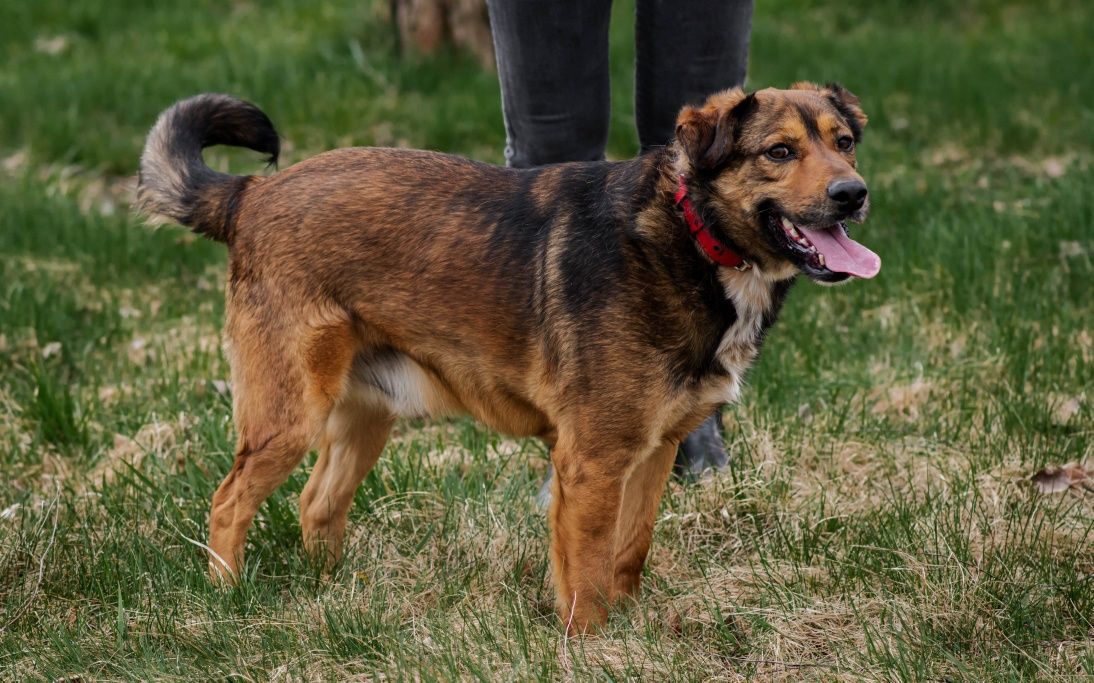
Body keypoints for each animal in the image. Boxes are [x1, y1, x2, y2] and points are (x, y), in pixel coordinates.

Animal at [134, 82, 879, 630]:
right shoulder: (593, 461)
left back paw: (334, 594)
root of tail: (249, 194)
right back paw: (227, 599)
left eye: (844, 143)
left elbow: (629, 550)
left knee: (318, 503)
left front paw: (632, 626)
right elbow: (587, 571)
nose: (853, 194)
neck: (690, 236)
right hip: (288, 414)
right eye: (779, 151)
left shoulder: (656, 449)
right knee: (229, 501)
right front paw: (593, 645)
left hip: (366, 414)